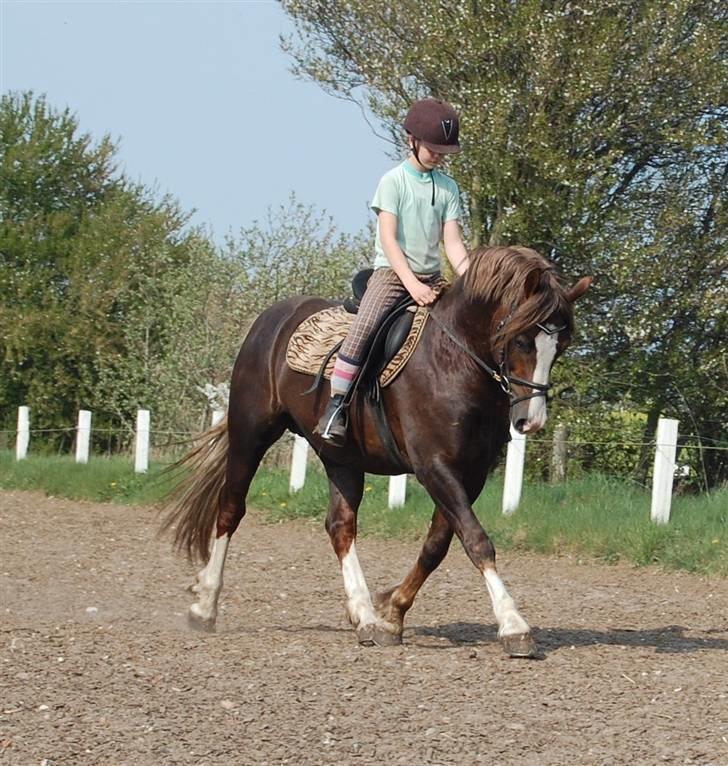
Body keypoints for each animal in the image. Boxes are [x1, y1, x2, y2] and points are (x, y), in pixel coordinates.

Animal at [164, 246, 592, 660]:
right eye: (521, 340)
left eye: (561, 346)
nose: (530, 421)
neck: (453, 361)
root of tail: (271, 318)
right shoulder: (434, 466)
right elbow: (475, 539)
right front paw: (513, 625)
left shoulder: (470, 474)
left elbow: (437, 545)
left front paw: (391, 612)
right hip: (250, 433)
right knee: (230, 510)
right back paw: (205, 606)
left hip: (341, 458)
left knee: (340, 527)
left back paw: (364, 615)